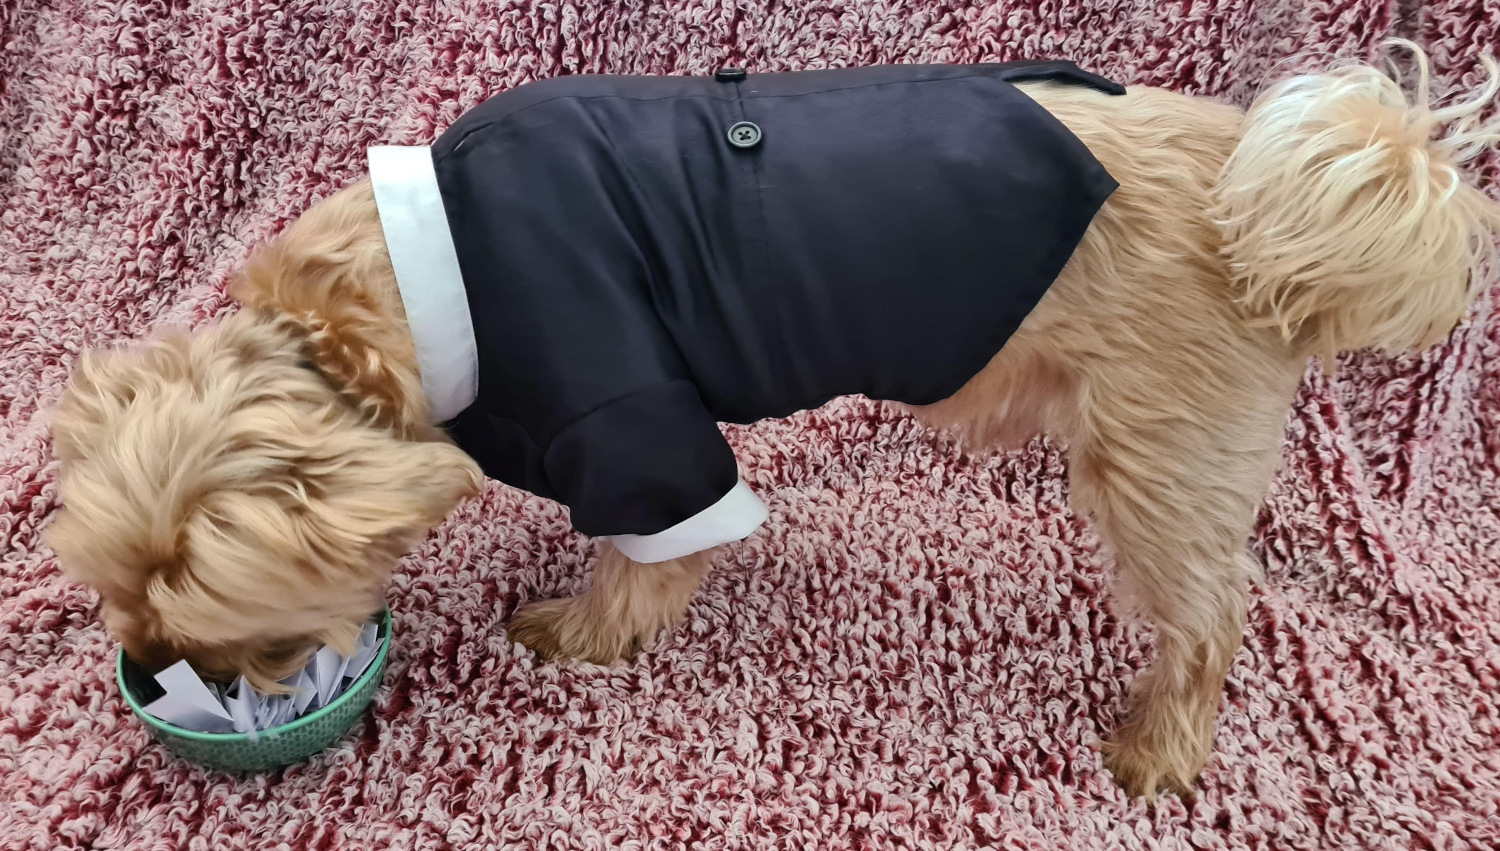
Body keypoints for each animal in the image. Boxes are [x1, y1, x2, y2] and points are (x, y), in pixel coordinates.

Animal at [43, 39, 1500, 798]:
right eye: (120, 596)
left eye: (230, 622)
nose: (169, 668)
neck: (383, 296)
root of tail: (1265, 213)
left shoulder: (633, 416)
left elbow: (647, 557)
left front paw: (584, 630)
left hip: (1157, 456)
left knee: (1210, 616)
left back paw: (1162, 744)